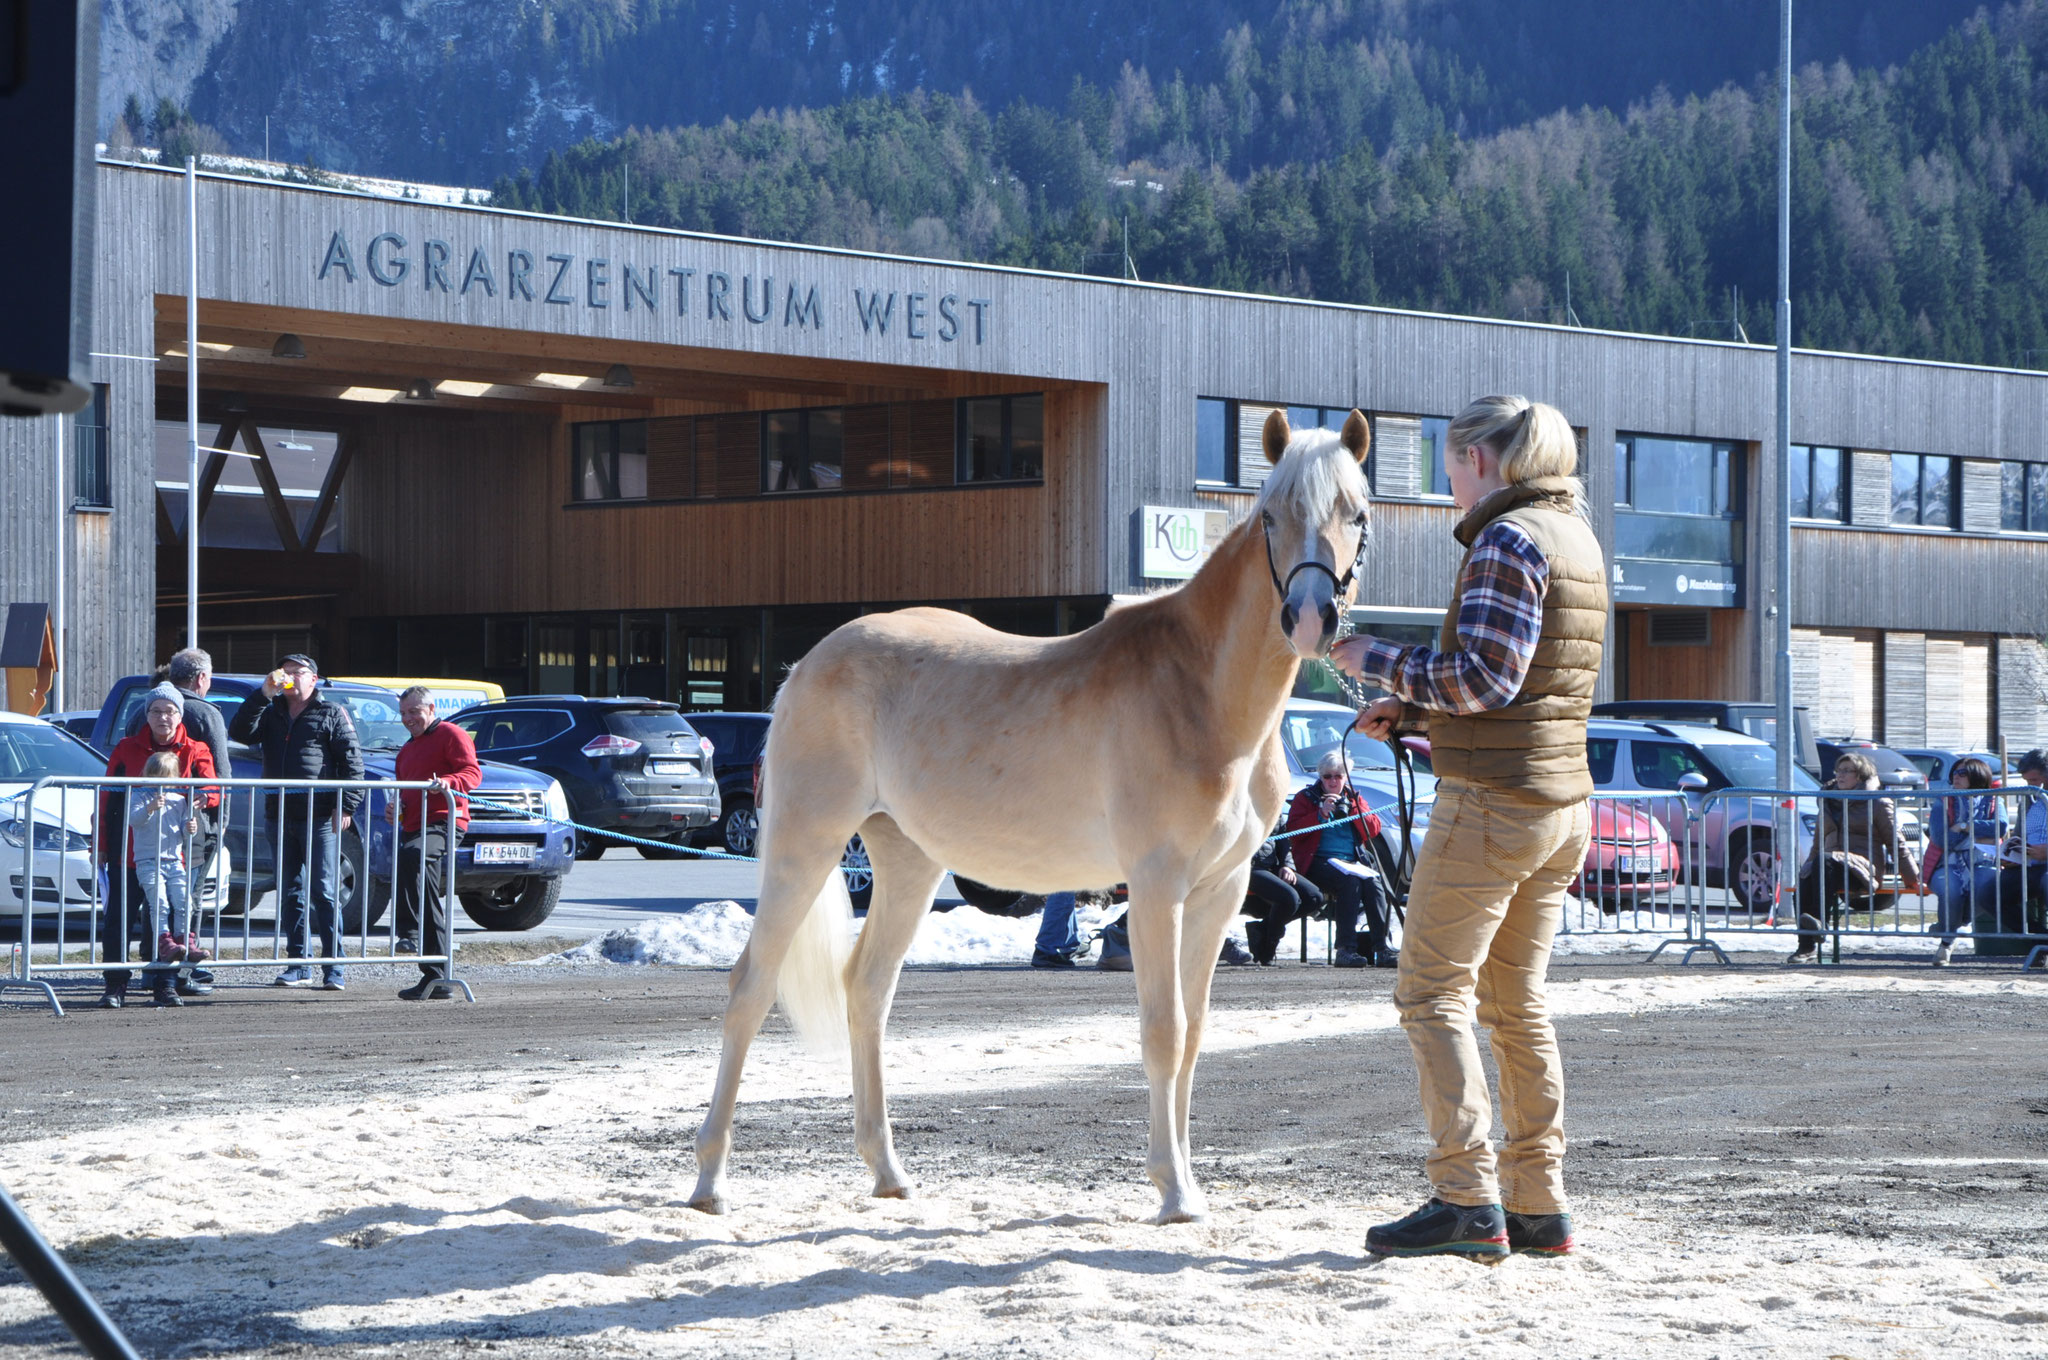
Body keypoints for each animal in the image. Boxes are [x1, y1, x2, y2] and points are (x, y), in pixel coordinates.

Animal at [692, 409, 1376, 1228]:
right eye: (1272, 515)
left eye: (1356, 515)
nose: (1310, 619)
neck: (1200, 691)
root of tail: (806, 665)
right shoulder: (1157, 887)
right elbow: (1163, 1030)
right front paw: (1172, 1191)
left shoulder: (1221, 891)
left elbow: (1194, 1034)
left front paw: (1188, 1185)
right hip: (808, 843)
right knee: (751, 988)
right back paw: (709, 1182)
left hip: (907, 860)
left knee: (868, 989)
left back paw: (889, 1173)